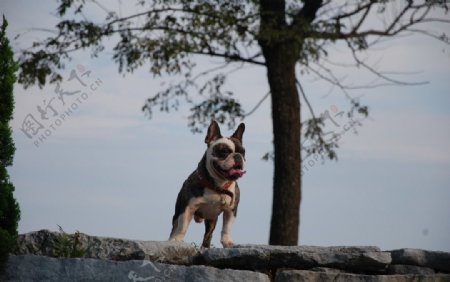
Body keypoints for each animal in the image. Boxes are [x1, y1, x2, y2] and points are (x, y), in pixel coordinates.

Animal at [169, 120, 246, 248]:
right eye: (224, 151)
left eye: (243, 152)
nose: (238, 156)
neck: (218, 186)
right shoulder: (187, 208)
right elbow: (182, 226)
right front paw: (177, 240)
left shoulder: (231, 210)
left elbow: (227, 227)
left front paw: (227, 241)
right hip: (178, 212)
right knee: (175, 226)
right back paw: (171, 239)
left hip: (211, 220)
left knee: (208, 235)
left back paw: (205, 246)